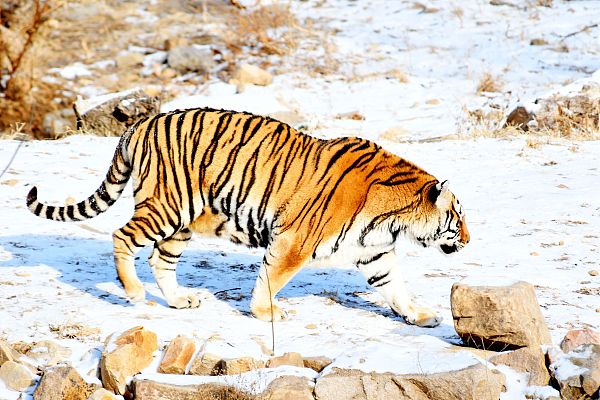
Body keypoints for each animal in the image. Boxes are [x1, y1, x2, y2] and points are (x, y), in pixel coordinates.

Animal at [27, 107, 468, 328]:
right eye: (458, 217)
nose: (468, 240)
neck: (393, 218)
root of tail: (140, 122)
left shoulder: (373, 251)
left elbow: (395, 286)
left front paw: (419, 315)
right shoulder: (294, 241)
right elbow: (273, 278)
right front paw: (265, 313)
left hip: (182, 222)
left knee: (158, 258)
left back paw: (180, 300)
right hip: (166, 206)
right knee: (122, 237)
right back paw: (135, 293)